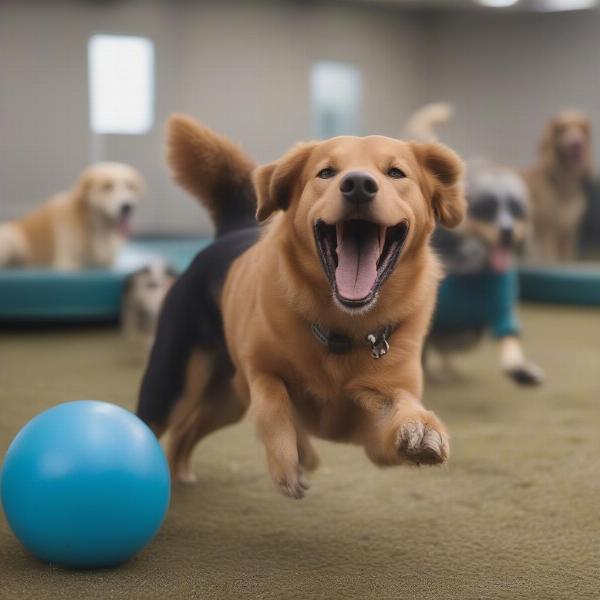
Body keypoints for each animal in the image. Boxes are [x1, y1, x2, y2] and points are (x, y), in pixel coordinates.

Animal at [0, 162, 145, 270]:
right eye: (106, 186)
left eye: (130, 186)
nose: (127, 206)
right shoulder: (67, 263)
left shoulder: (109, 263)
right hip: (11, 238)